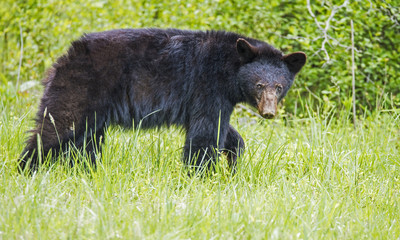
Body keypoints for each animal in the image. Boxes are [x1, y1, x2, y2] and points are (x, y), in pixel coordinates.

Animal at [19, 28, 306, 172]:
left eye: (279, 86)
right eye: (259, 85)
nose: (268, 112)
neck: (229, 66)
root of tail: (65, 57)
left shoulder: (213, 97)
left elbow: (225, 132)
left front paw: (233, 162)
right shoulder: (207, 85)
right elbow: (206, 133)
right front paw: (202, 176)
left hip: (94, 109)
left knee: (85, 141)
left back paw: (85, 171)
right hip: (81, 86)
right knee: (57, 127)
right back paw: (27, 169)